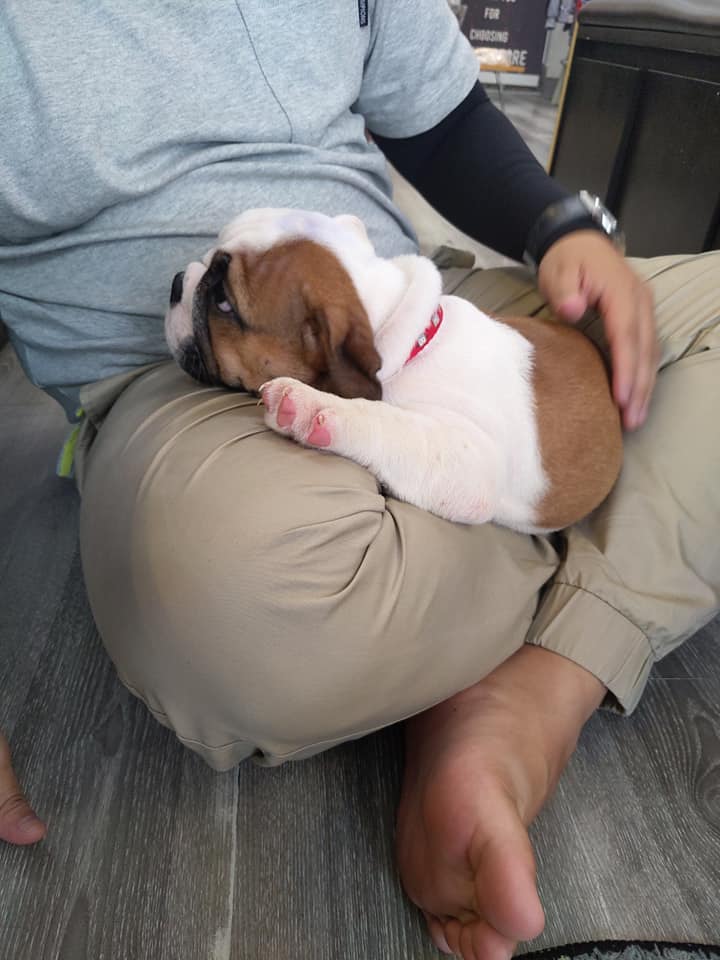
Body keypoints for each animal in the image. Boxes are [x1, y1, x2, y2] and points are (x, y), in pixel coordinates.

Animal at [165, 208, 622, 532]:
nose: (174, 281)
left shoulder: (471, 463)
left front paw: (311, 407)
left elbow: (388, 421)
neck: (413, 341)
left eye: (223, 302)